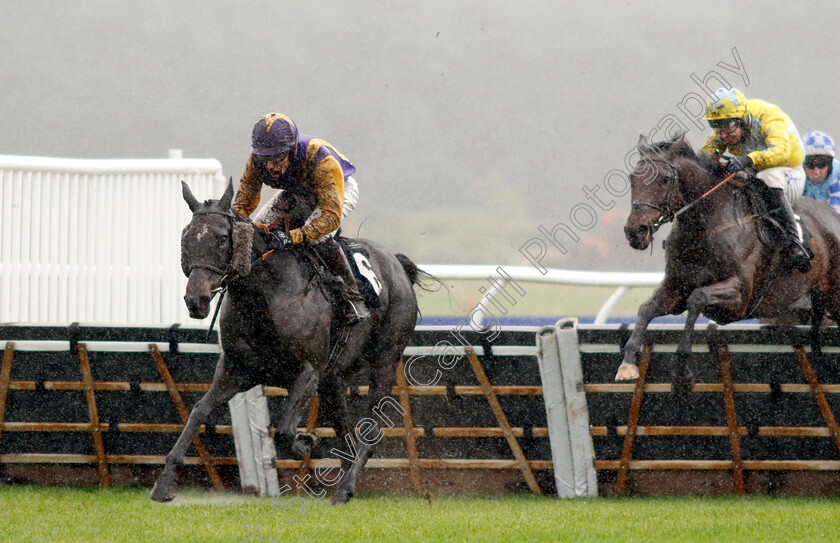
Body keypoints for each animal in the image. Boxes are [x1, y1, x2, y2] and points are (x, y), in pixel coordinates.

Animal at [151, 180, 420, 506]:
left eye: (222, 238)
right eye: (187, 237)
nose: (196, 300)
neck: (264, 295)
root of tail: (397, 264)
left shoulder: (309, 370)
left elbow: (283, 430)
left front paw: (305, 442)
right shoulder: (237, 371)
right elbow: (199, 411)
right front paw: (164, 483)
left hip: (384, 360)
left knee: (370, 430)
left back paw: (344, 489)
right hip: (333, 381)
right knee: (347, 434)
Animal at [612, 134, 840, 384]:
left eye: (664, 179)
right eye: (632, 179)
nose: (635, 231)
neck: (704, 229)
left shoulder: (741, 297)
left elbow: (697, 297)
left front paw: (682, 365)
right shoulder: (676, 288)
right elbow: (646, 309)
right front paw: (627, 364)